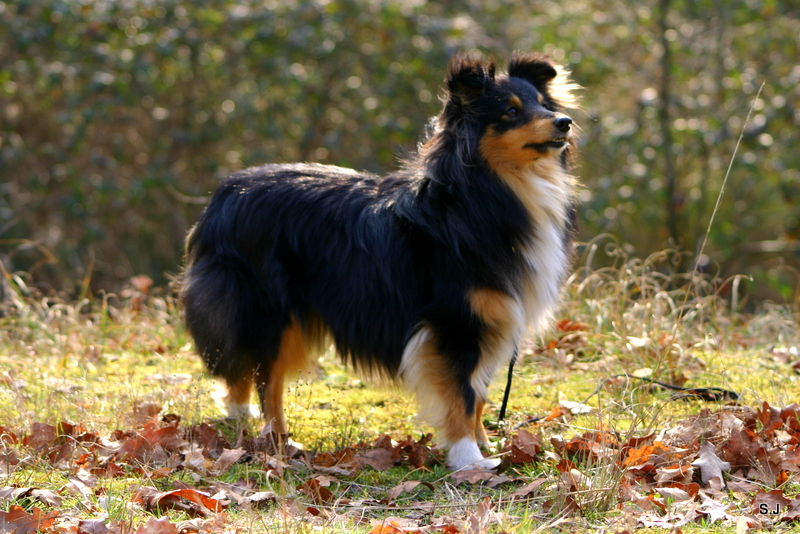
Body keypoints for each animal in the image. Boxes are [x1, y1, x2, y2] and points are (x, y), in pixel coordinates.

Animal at [182, 51, 580, 468]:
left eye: (543, 103)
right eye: (511, 111)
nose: (564, 122)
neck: (484, 192)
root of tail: (225, 194)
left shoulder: (492, 318)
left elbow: (479, 392)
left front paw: (484, 443)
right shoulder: (453, 321)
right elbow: (462, 394)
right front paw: (469, 458)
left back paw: (240, 415)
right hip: (269, 310)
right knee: (266, 379)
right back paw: (278, 440)